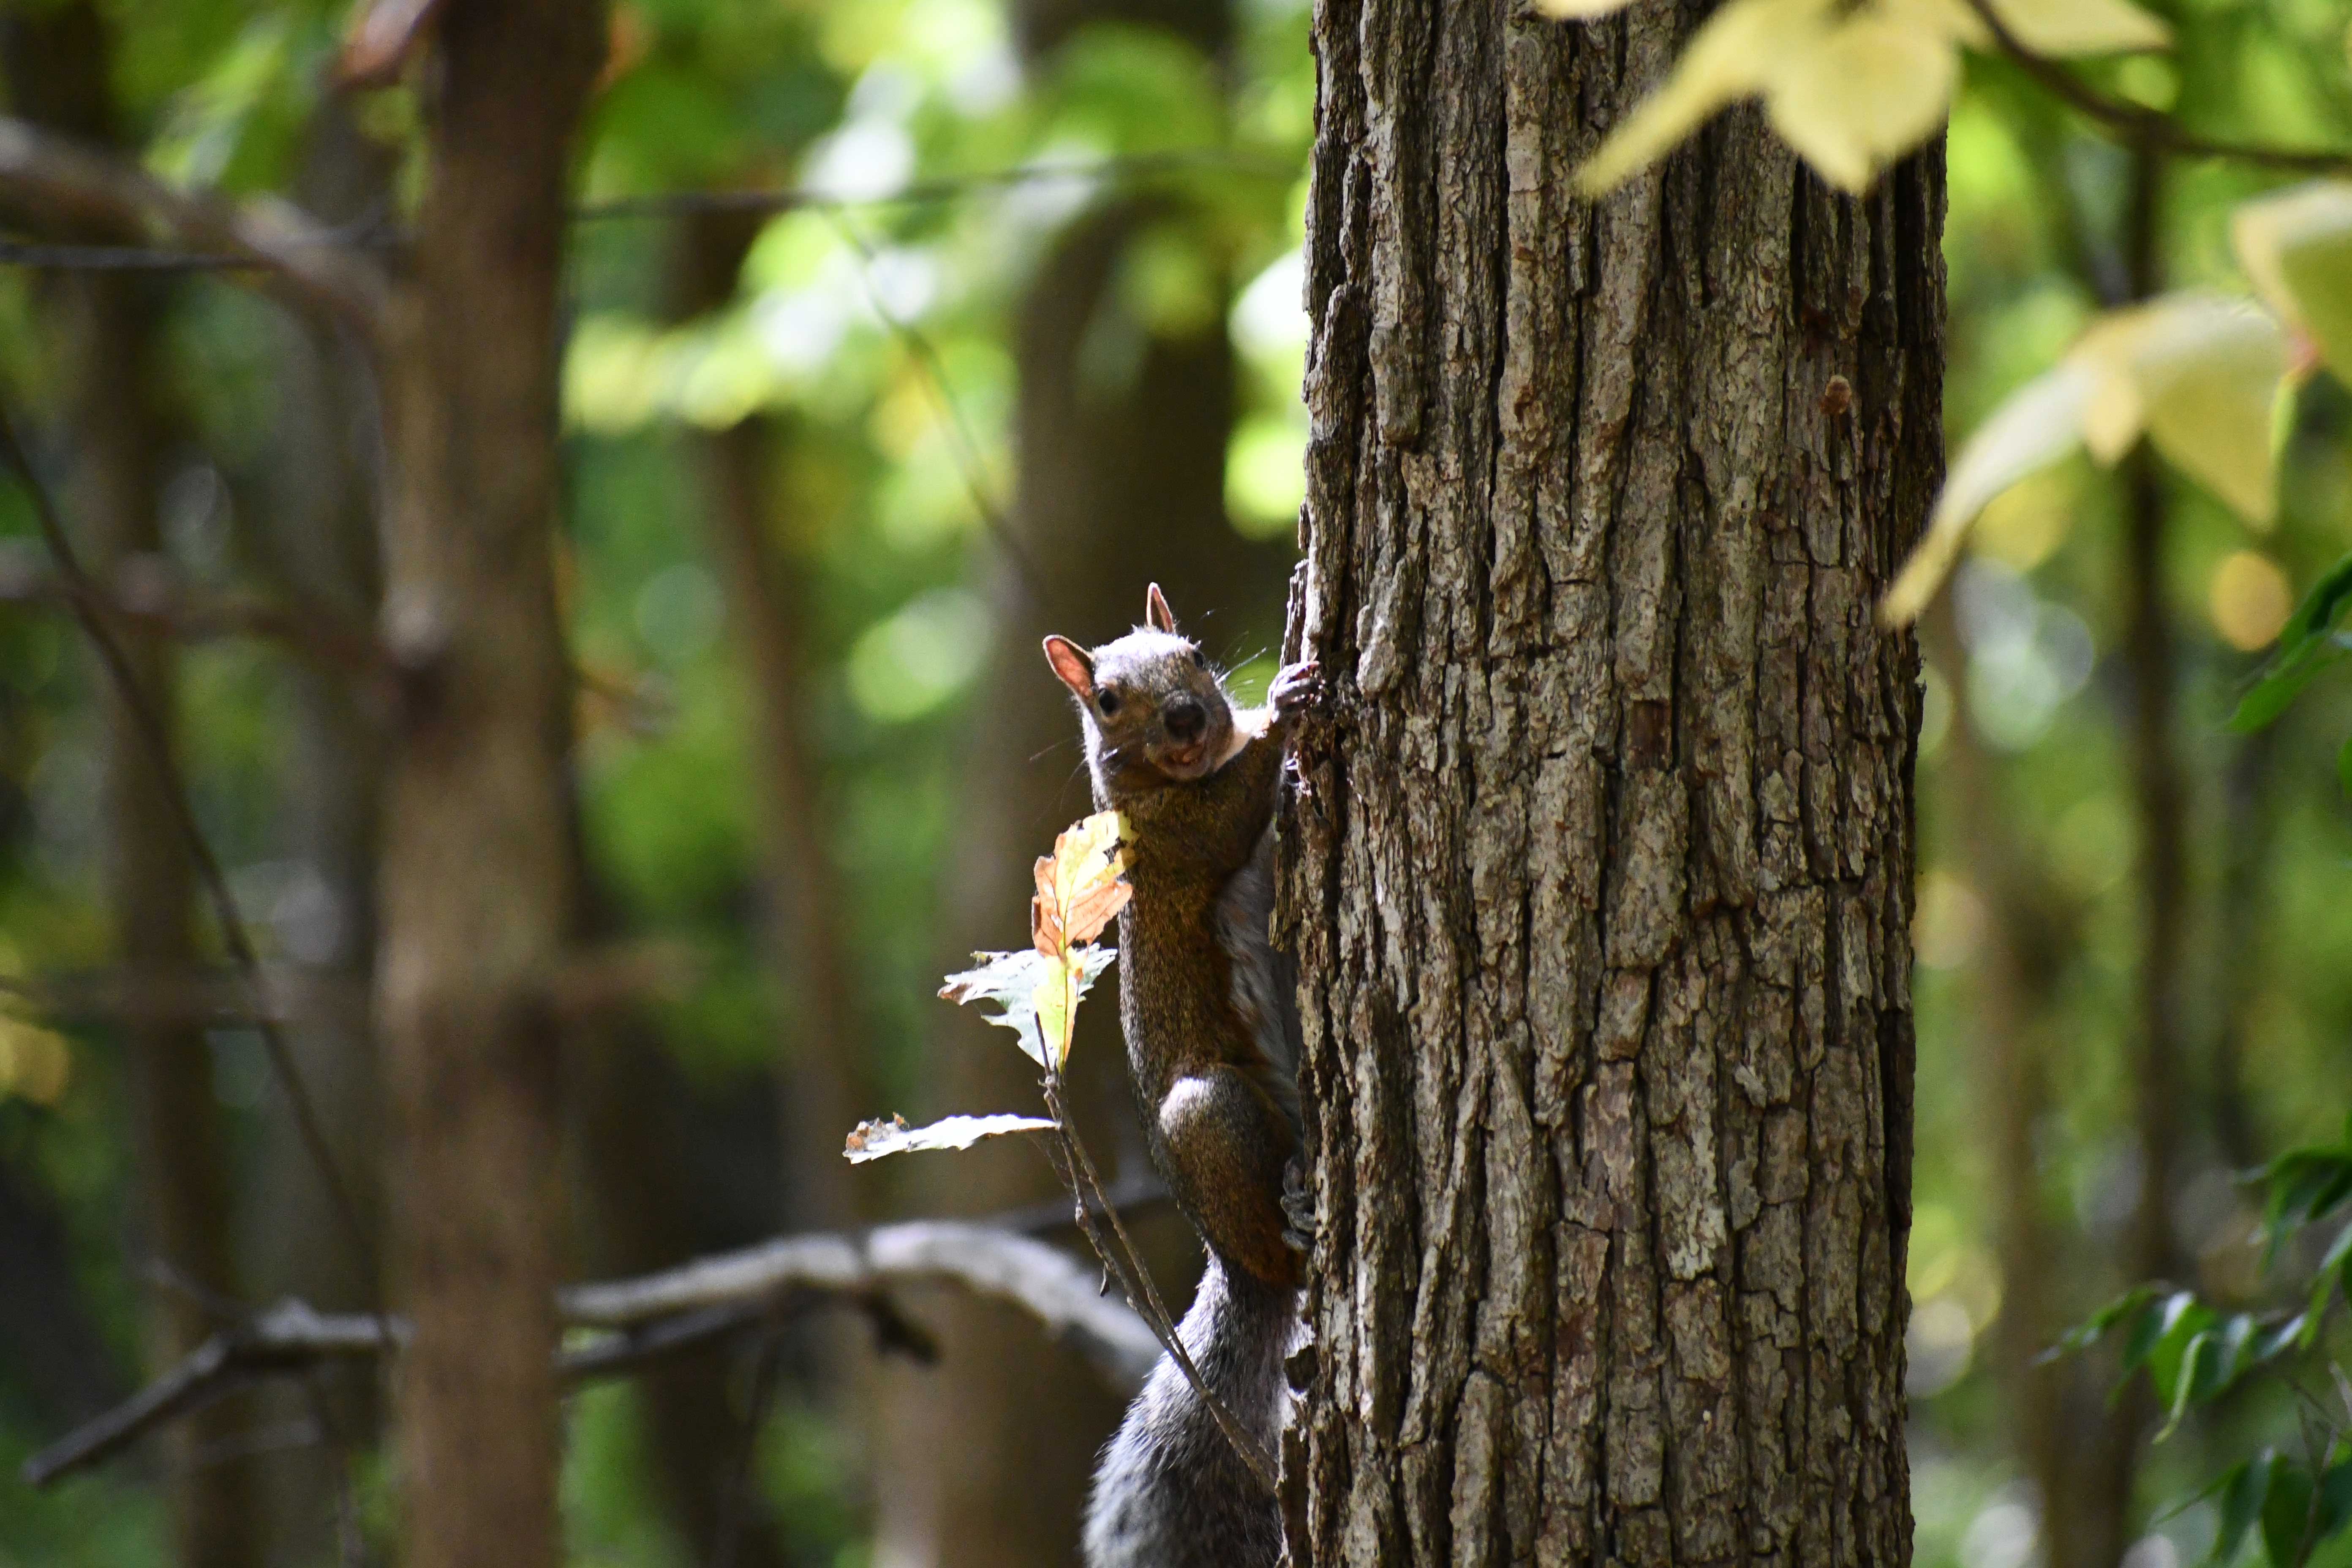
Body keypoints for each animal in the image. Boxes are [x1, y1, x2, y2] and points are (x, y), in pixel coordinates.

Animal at [1041, 583, 1319, 1568]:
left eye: (1195, 654)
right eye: (1106, 699)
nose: (1190, 717)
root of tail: (1230, 1265)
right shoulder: (1180, 839)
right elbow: (1234, 809)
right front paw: (1285, 698)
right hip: (1211, 1115)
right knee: (1274, 1245)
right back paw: (1297, 1216)